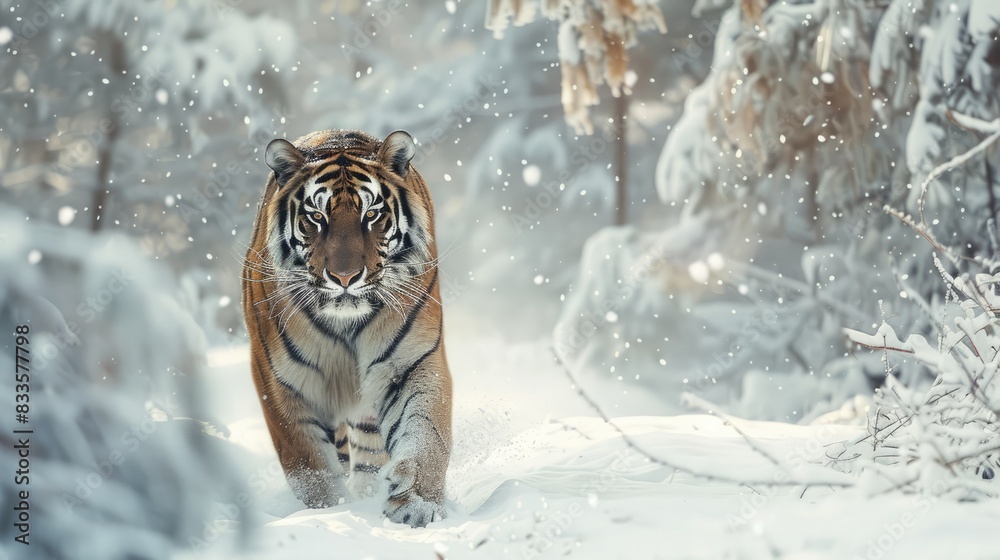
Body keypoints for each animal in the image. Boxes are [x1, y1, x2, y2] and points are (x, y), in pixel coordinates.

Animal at [240, 129, 452, 527]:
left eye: (371, 214)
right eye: (316, 216)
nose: (344, 277)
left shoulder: (411, 363)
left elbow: (427, 434)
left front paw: (417, 505)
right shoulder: (280, 383)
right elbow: (311, 469)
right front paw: (328, 515)